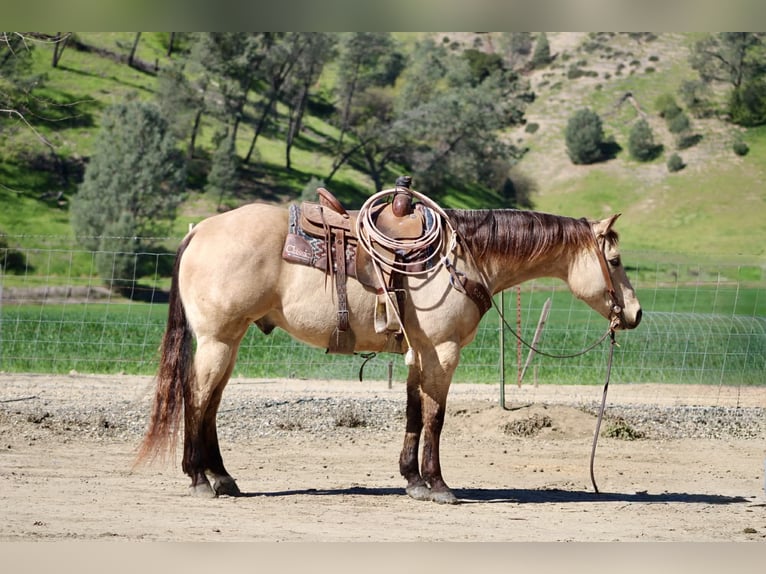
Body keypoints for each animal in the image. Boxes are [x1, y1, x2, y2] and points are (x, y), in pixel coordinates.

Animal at [136, 199, 642, 505]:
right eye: (615, 261)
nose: (634, 313)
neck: (462, 258)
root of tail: (200, 230)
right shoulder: (444, 352)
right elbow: (436, 418)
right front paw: (438, 485)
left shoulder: (420, 354)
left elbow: (415, 414)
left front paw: (413, 480)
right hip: (218, 340)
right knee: (197, 398)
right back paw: (200, 479)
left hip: (229, 340)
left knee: (209, 403)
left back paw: (222, 477)